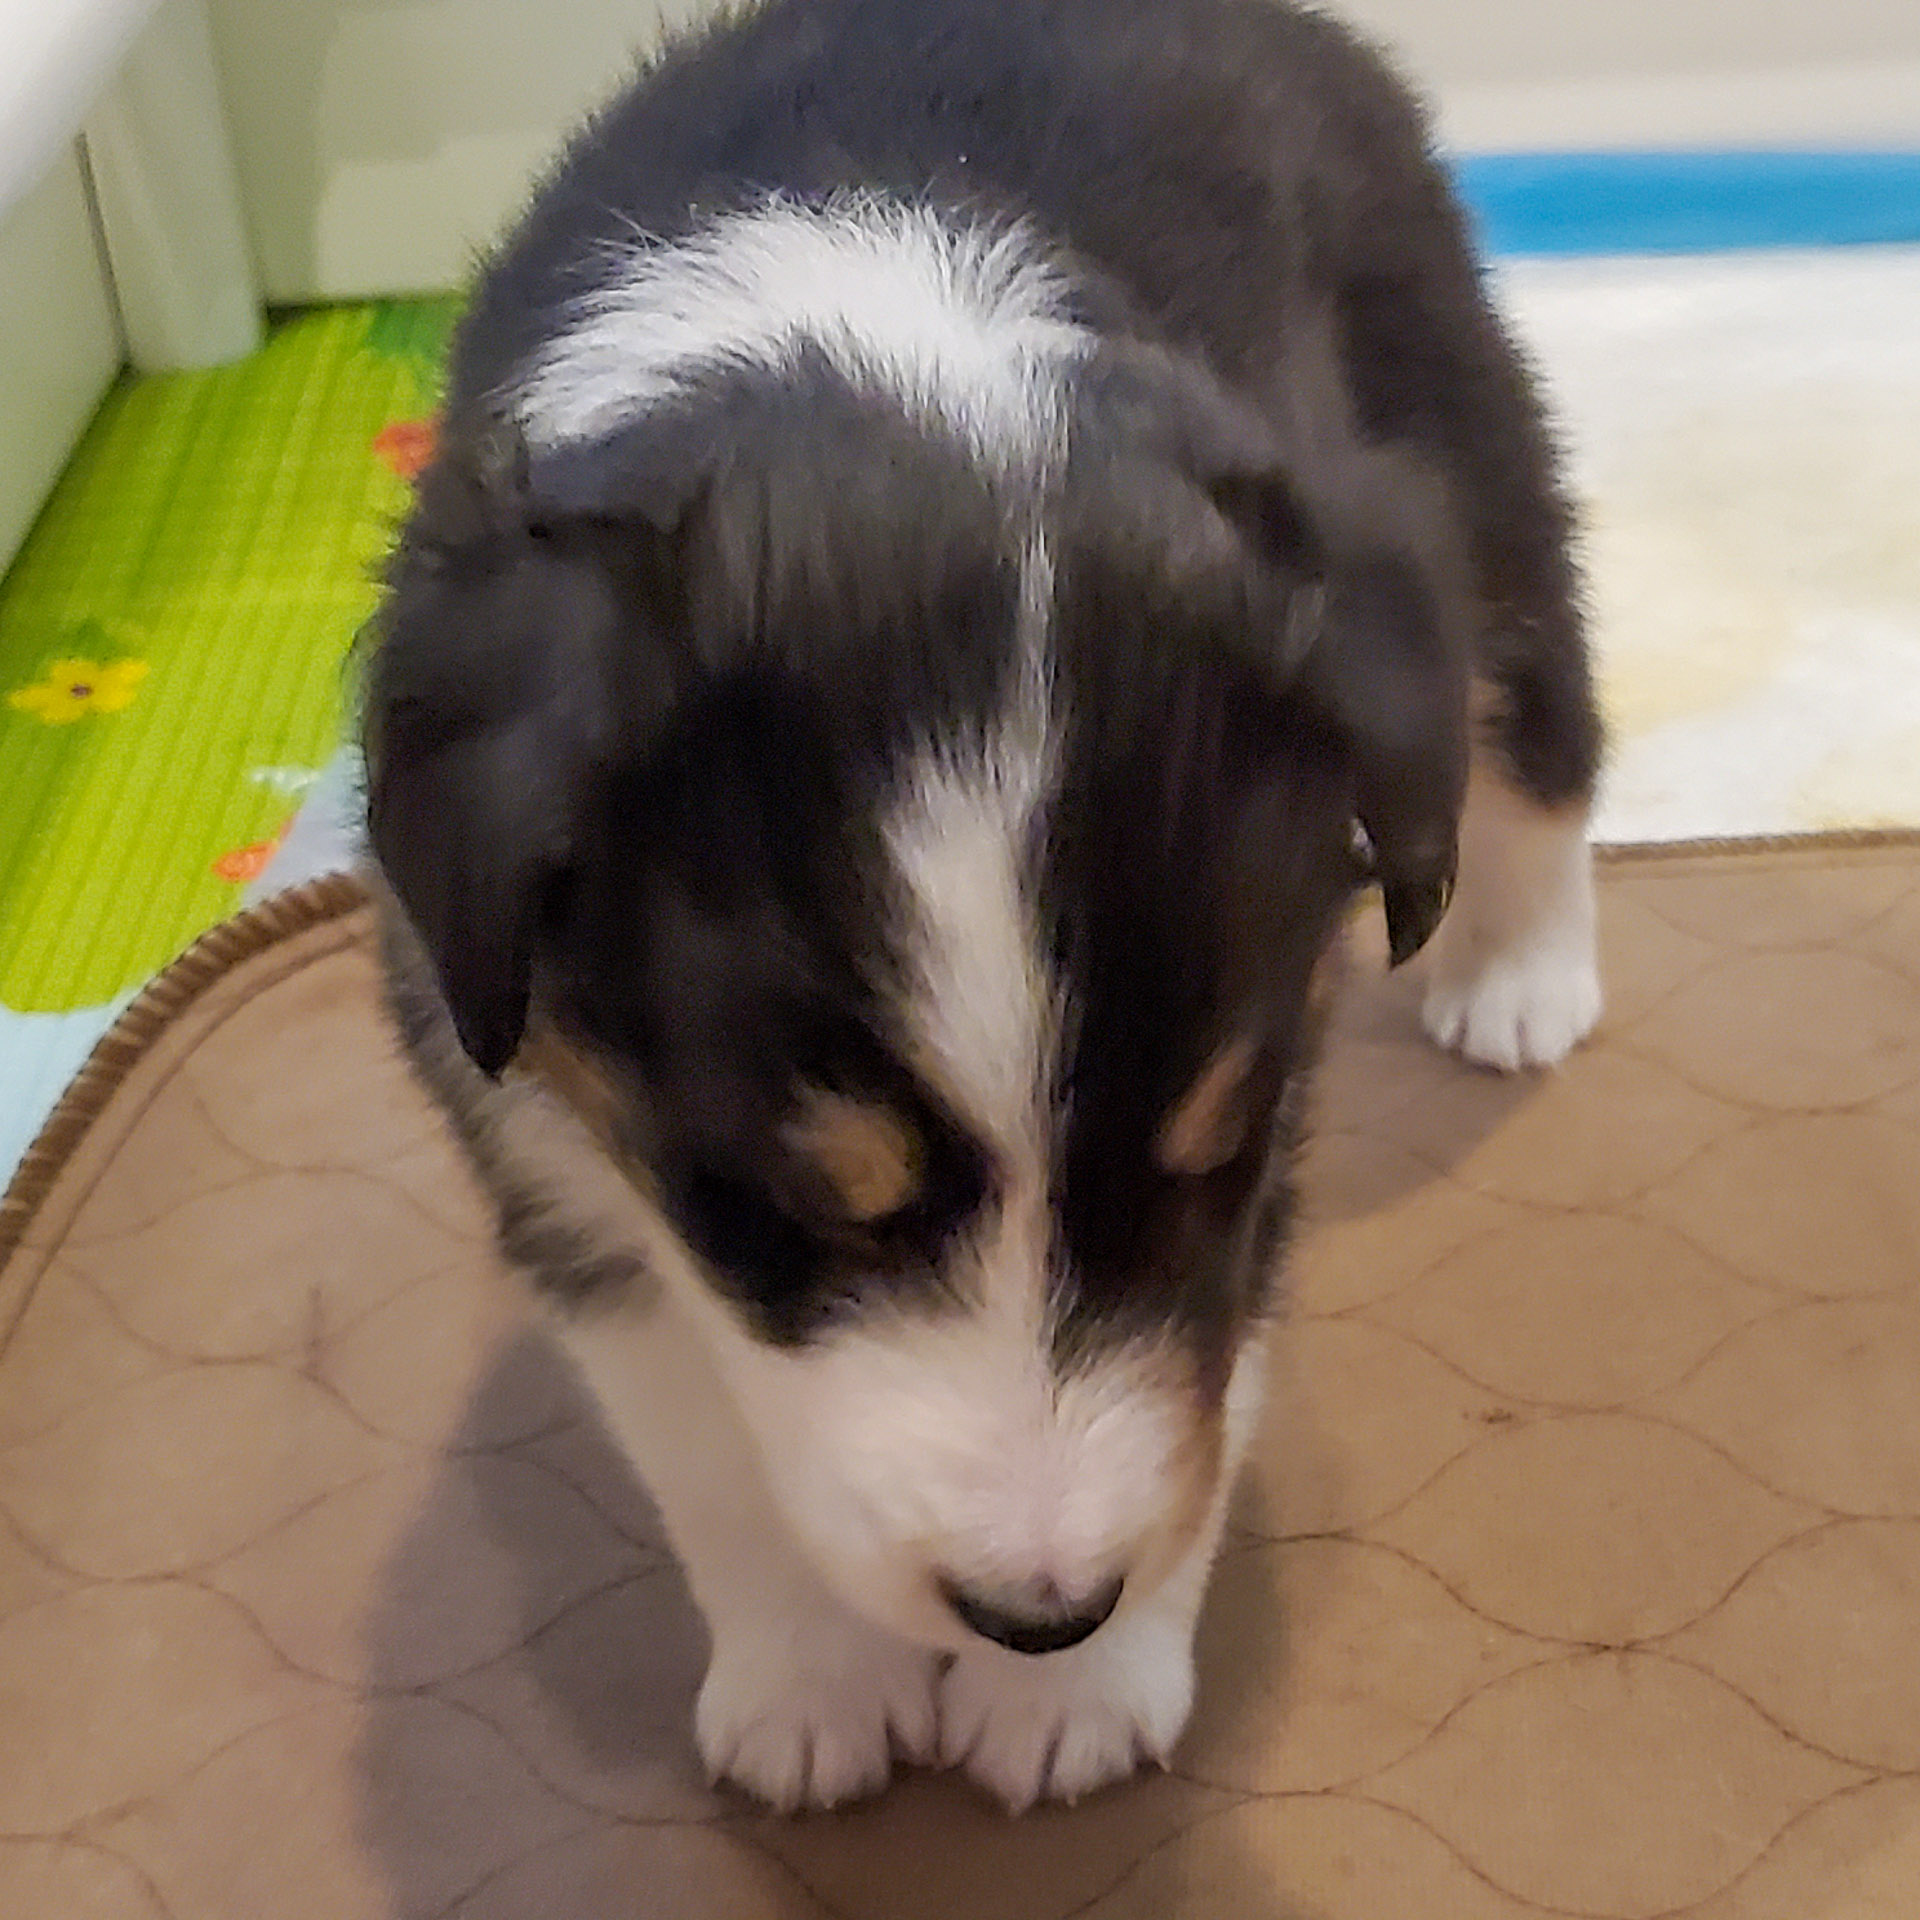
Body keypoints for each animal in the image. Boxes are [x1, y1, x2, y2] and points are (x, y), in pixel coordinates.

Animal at [361, 0, 1602, 1814]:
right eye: (786, 1207)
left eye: (1209, 1162)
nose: (1042, 1609)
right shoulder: (535, 1107)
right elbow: (710, 1454)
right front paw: (814, 1689)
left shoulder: (1266, 1109)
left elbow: (1209, 1379)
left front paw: (1077, 1695)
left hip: (1456, 453)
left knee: (1534, 717)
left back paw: (1521, 976)